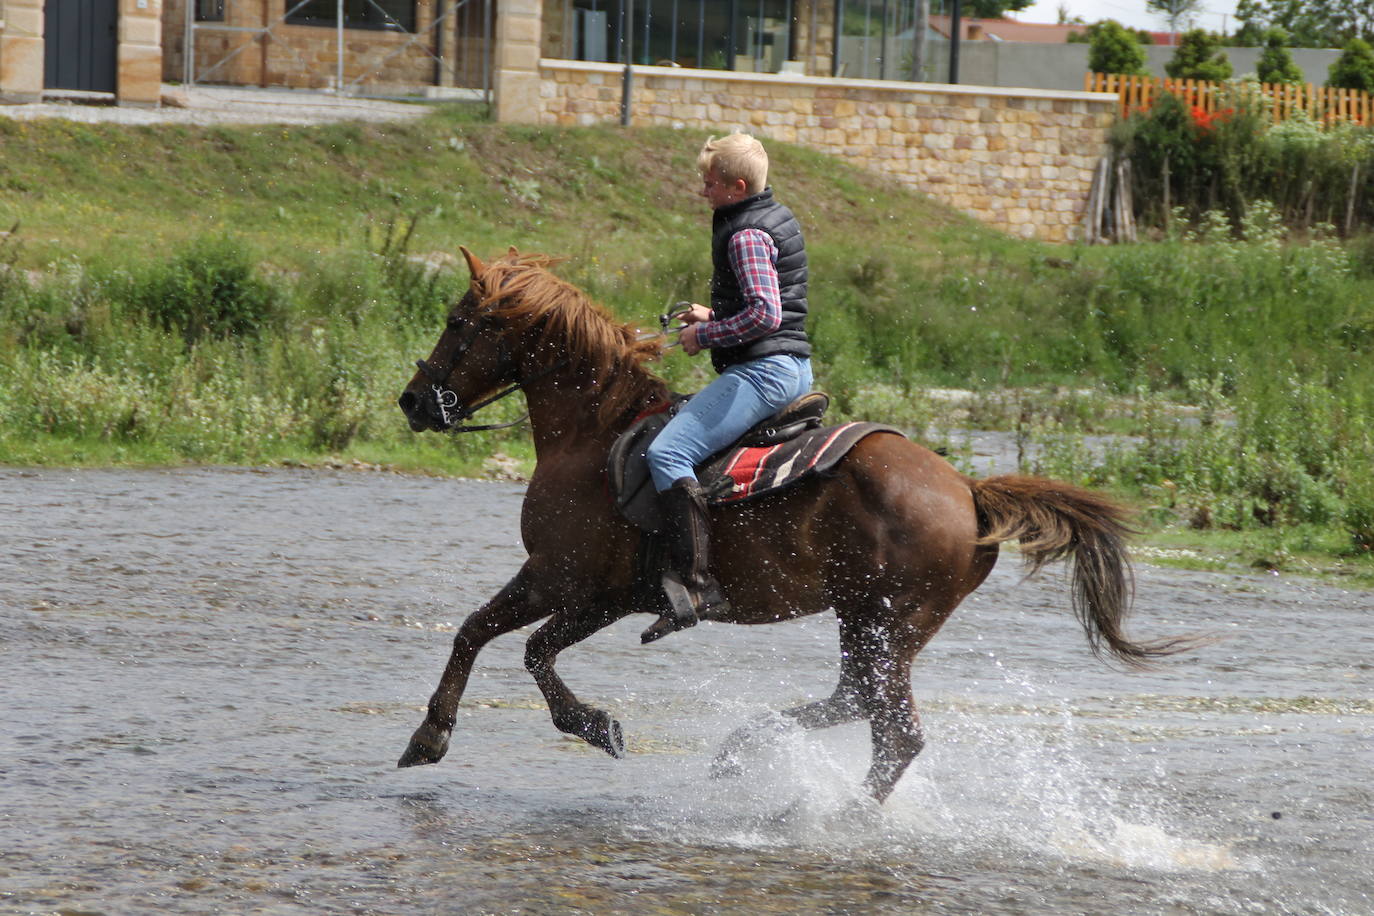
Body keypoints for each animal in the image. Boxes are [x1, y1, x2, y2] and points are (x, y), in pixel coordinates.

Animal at [398, 247, 1192, 807]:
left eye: (456, 322)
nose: (413, 401)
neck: (593, 435)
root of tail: (968, 491)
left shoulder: (574, 584)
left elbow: (512, 646)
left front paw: (563, 728)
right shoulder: (589, 590)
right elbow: (496, 637)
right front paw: (450, 733)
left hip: (887, 624)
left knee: (895, 734)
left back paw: (826, 813)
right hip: (867, 621)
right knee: (855, 702)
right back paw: (746, 749)